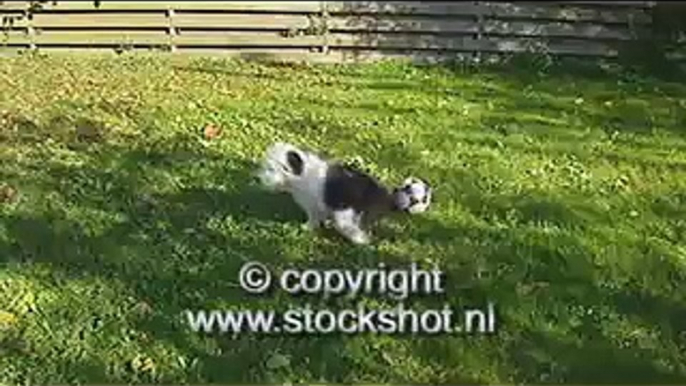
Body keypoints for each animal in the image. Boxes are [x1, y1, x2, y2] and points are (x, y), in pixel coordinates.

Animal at [255, 142, 432, 244]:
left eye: (271, 169)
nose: (258, 178)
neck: (301, 173)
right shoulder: (316, 206)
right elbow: (315, 218)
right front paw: (310, 227)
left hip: (348, 211)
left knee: (349, 224)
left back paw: (360, 238)